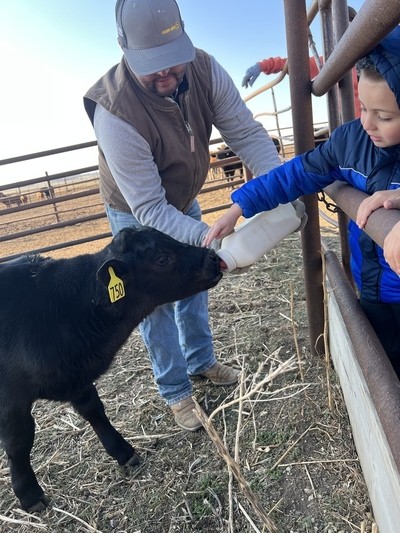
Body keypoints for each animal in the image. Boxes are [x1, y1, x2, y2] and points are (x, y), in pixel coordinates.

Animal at [0, 228, 222, 512]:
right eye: (162, 258)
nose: (213, 258)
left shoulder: (78, 379)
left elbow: (94, 411)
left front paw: (123, 452)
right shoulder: (11, 398)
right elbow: (19, 442)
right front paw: (29, 495)